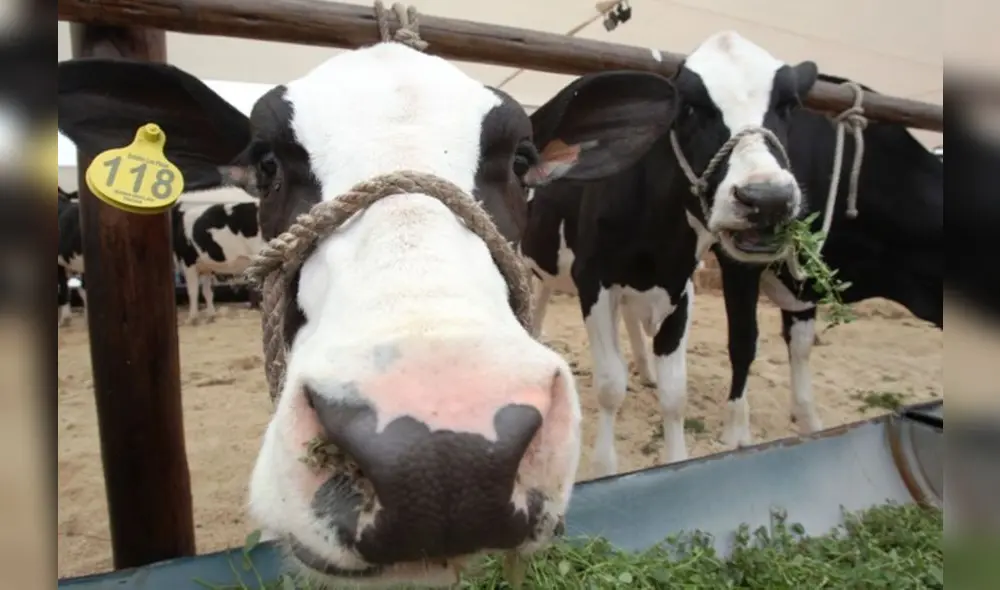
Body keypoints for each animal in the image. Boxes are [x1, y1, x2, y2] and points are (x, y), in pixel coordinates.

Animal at [522, 31, 821, 477]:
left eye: (787, 105)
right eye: (690, 107)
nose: (766, 199)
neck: (657, 243)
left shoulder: (680, 286)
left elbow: (675, 394)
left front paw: (675, 460)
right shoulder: (593, 280)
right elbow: (610, 385)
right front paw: (605, 466)